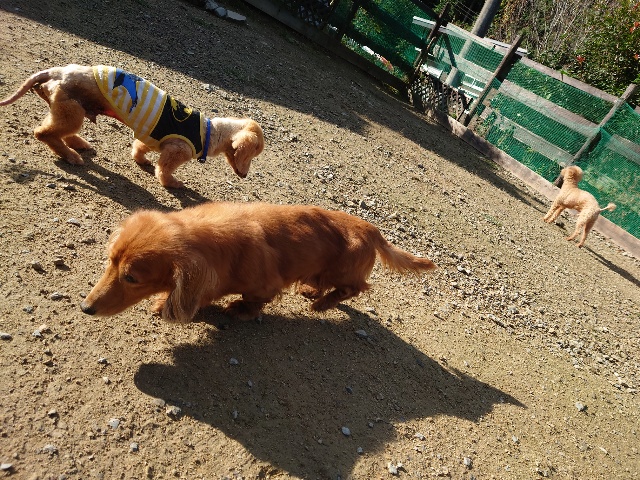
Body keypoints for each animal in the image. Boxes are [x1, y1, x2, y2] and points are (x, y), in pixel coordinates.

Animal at [0, 64, 264, 188]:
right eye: (252, 155)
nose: (245, 175)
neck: (208, 133)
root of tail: (55, 71)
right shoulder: (176, 150)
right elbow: (164, 169)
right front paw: (172, 183)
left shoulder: (149, 137)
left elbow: (139, 148)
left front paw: (141, 160)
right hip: (71, 111)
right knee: (44, 133)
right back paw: (72, 155)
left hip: (71, 110)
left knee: (60, 132)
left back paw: (79, 145)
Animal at [80, 202, 437, 323]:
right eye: (110, 262)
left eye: (131, 278)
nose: (85, 308)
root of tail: (372, 229)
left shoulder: (264, 286)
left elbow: (252, 301)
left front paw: (239, 310)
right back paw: (311, 291)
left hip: (344, 272)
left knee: (355, 288)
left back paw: (321, 304)